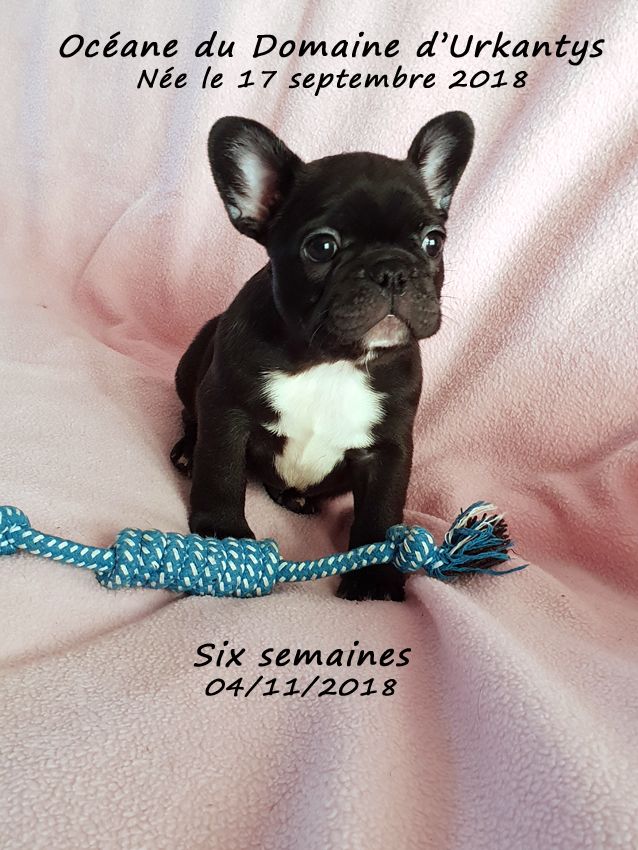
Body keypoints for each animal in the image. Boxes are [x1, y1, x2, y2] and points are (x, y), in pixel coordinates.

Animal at [170, 111, 474, 601]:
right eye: (322, 247)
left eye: (433, 242)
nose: (392, 270)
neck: (331, 360)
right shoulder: (226, 409)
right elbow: (221, 473)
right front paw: (223, 540)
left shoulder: (388, 448)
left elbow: (381, 514)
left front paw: (374, 579)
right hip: (194, 358)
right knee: (189, 413)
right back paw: (185, 452)